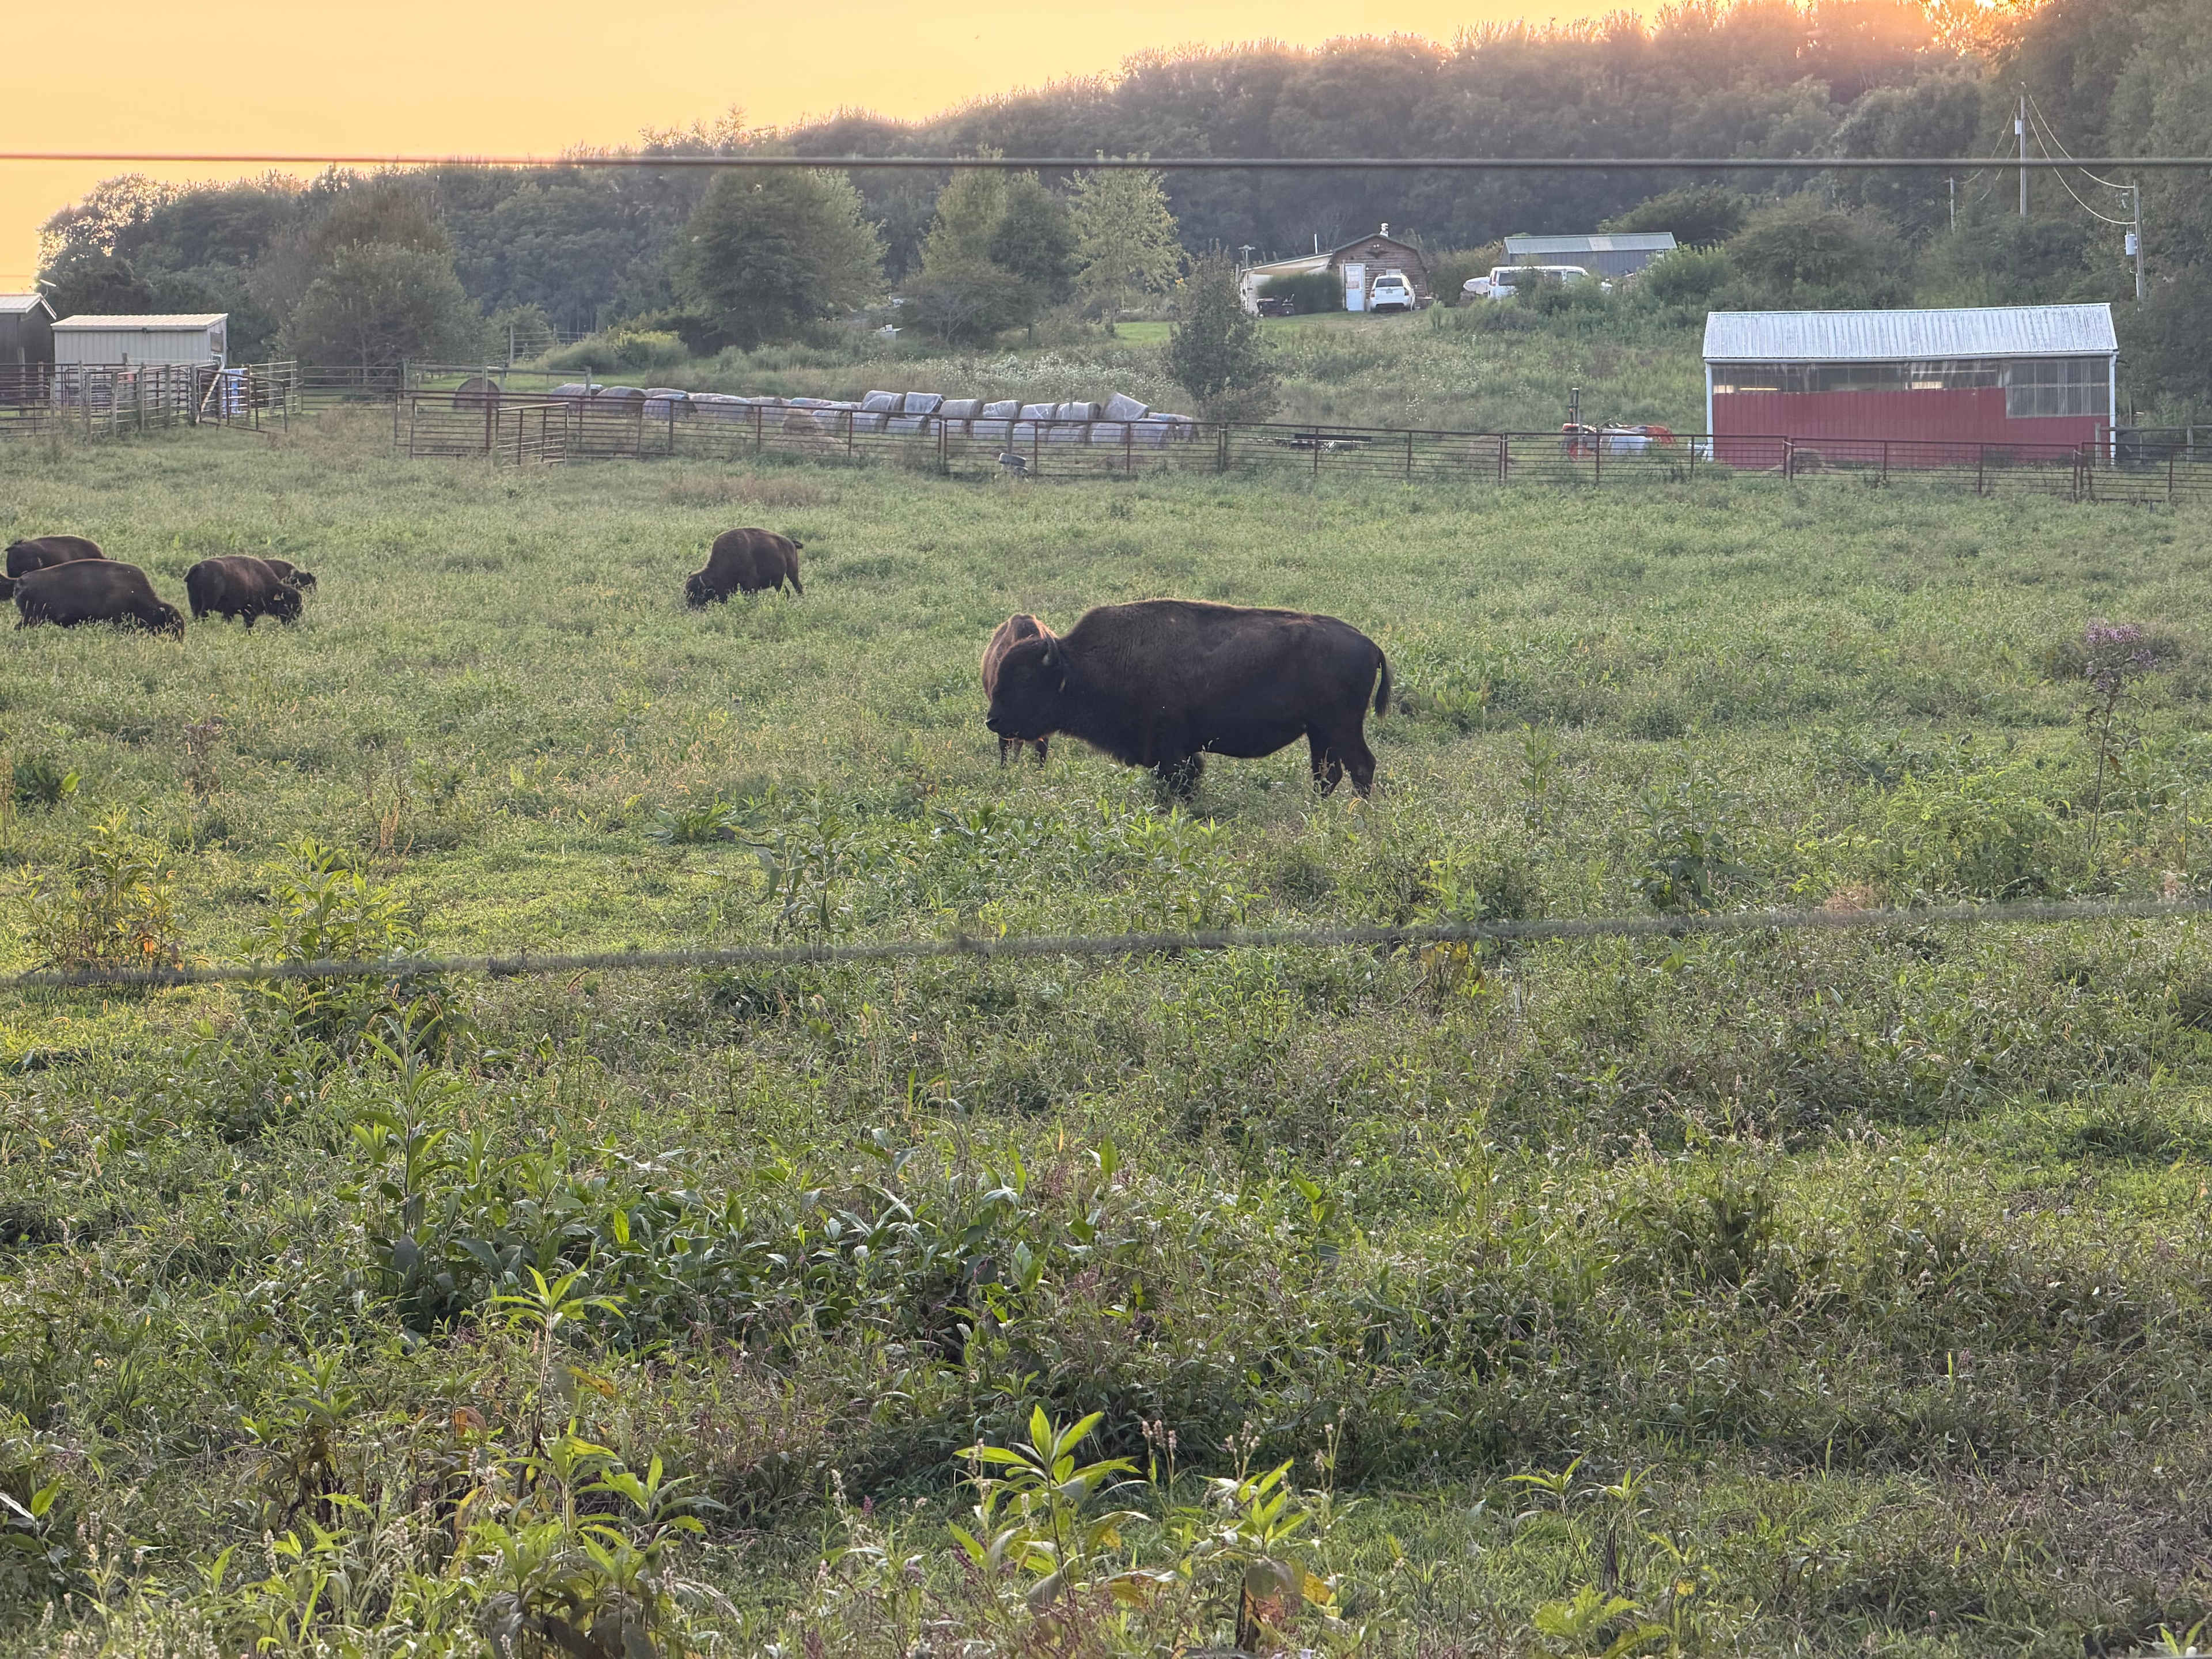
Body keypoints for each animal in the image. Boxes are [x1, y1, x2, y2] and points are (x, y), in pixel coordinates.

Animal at [185, 556, 305, 626]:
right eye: (288, 604)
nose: (296, 617)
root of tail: (199, 567)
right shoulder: (250, 614)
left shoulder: (228, 612)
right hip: (208, 604)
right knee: (204, 615)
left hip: (194, 602)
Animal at [686, 528, 803, 606]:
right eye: (687, 593)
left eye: (700, 594)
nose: (691, 607)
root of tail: (791, 542)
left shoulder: (750, 586)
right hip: (778, 581)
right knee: (785, 591)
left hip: (792, 572)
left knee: (798, 587)